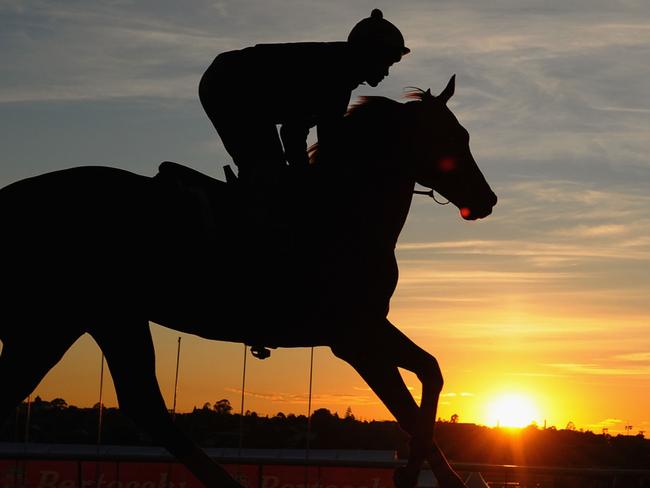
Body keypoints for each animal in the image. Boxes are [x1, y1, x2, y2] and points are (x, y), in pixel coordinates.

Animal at [0, 74, 494, 486]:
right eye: (453, 138)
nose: (486, 199)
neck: (343, 212)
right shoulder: (353, 336)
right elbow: (415, 394)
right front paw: (415, 472)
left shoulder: (366, 328)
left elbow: (425, 379)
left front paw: (431, 473)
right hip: (63, 318)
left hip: (98, 317)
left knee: (141, 404)